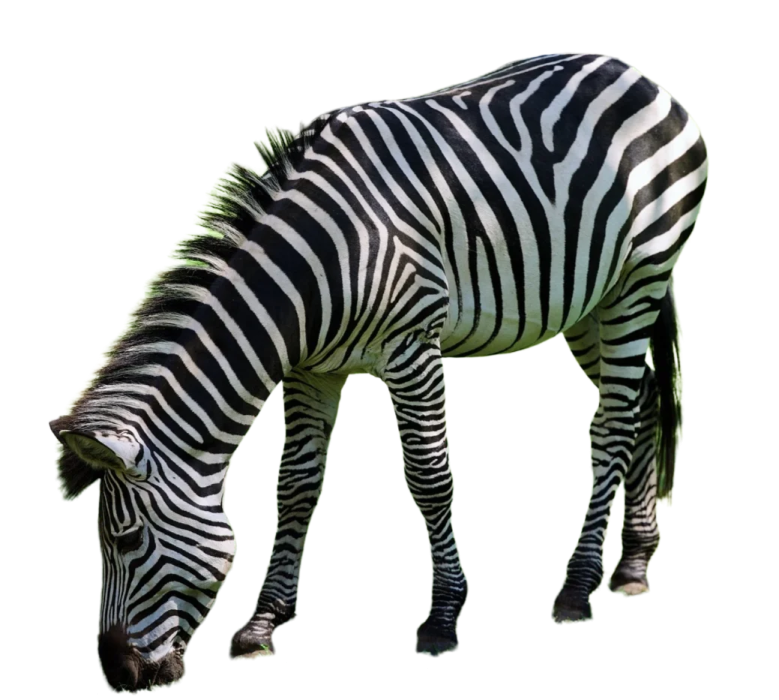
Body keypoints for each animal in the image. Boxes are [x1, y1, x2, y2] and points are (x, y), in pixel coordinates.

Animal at [48, 51, 708, 692]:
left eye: (125, 540)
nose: (119, 675)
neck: (316, 267)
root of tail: (631, 70)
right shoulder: (308, 372)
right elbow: (294, 488)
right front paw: (263, 624)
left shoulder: (413, 348)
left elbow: (429, 479)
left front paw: (443, 616)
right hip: (587, 303)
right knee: (644, 398)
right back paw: (633, 564)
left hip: (638, 280)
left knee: (613, 425)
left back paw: (577, 585)